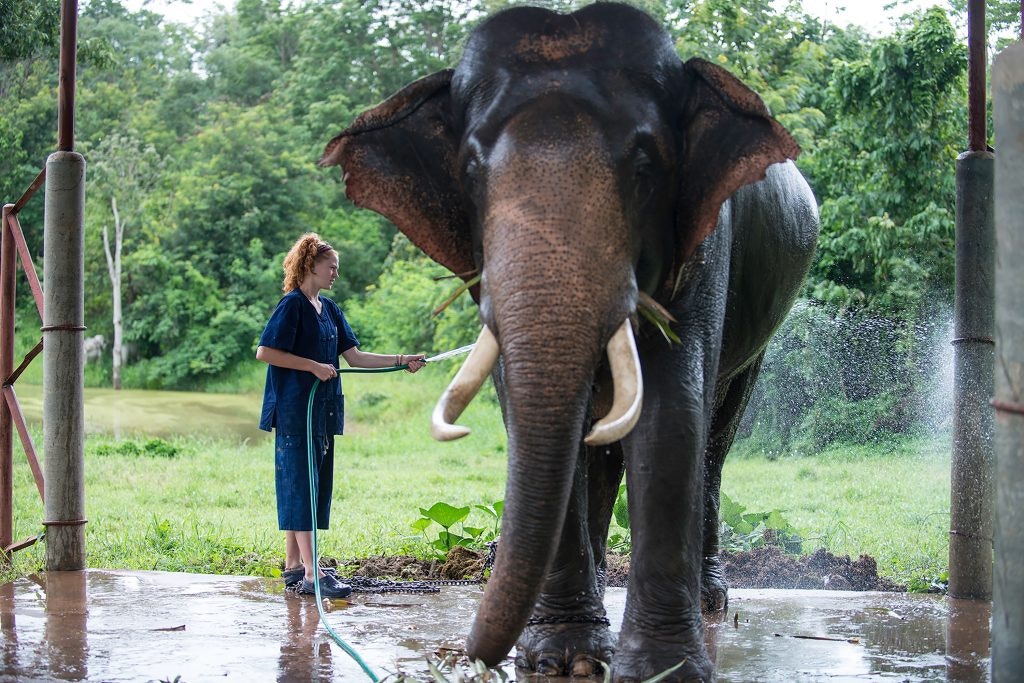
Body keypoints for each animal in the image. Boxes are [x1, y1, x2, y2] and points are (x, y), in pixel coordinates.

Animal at [321, 3, 819, 681]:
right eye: (471, 170)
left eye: (645, 166)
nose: (465, 654)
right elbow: (523, 397)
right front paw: (563, 659)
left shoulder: (706, 238)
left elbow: (672, 409)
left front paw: (662, 671)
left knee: (716, 437)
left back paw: (712, 598)